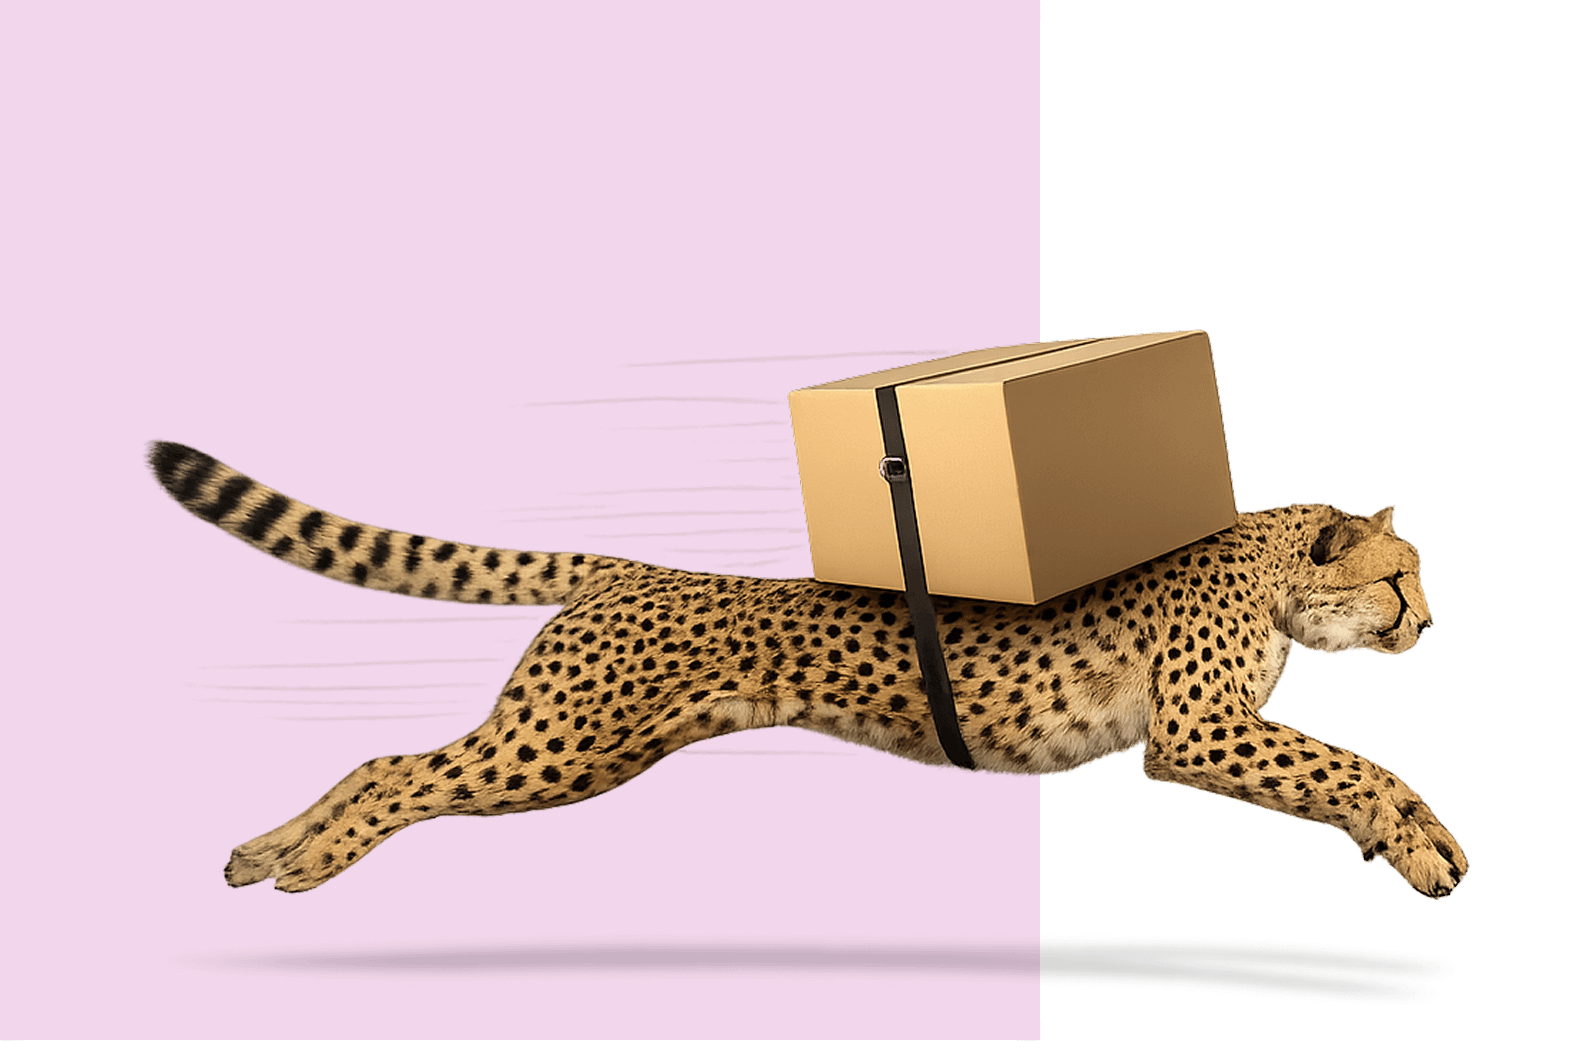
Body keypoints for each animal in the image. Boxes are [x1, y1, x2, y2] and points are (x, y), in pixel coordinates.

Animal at [147, 441, 1467, 899]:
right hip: (562, 742)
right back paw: (303, 861)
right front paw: (1422, 848)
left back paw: (261, 848)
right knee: (393, 768)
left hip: (596, 747)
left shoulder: (1219, 727)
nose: (1430, 628)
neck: (1270, 567)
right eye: (1400, 579)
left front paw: (1424, 846)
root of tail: (635, 567)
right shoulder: (1195, 728)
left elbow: (1352, 768)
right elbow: (1353, 765)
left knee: (391, 758)